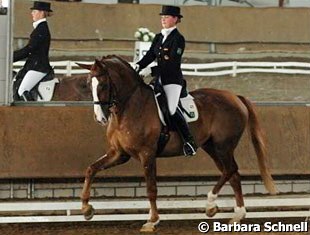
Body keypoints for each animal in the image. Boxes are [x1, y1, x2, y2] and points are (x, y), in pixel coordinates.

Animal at [78, 55, 278, 233]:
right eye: (88, 85)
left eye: (103, 85)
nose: (100, 118)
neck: (129, 107)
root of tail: (235, 96)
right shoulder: (119, 153)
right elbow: (91, 169)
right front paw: (87, 209)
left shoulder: (147, 154)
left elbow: (151, 188)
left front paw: (152, 221)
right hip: (212, 147)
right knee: (232, 174)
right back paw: (236, 215)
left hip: (223, 146)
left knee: (230, 170)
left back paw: (211, 205)